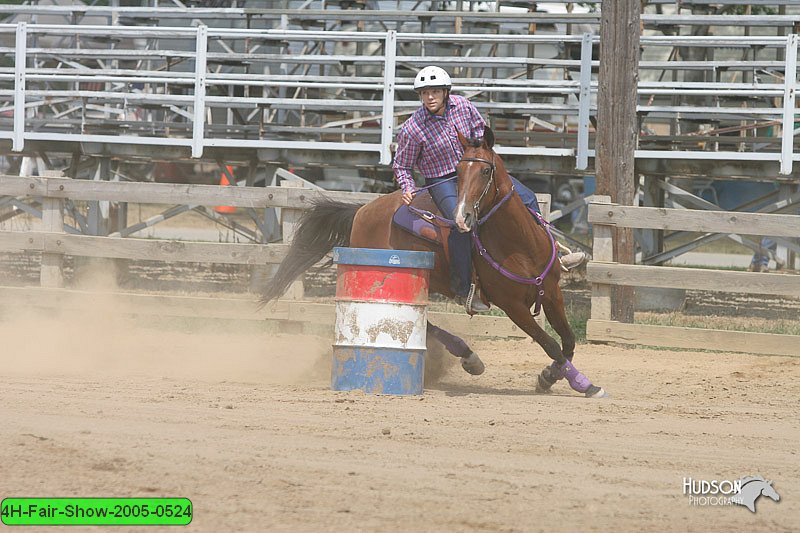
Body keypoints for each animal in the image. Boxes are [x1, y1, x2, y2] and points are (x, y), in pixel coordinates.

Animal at [262, 128, 608, 394]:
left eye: (486, 170)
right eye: (459, 169)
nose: (463, 216)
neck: (520, 245)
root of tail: (362, 210)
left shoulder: (551, 292)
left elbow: (567, 342)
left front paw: (550, 377)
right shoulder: (513, 306)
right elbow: (549, 343)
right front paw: (582, 384)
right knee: (420, 322)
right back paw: (469, 356)